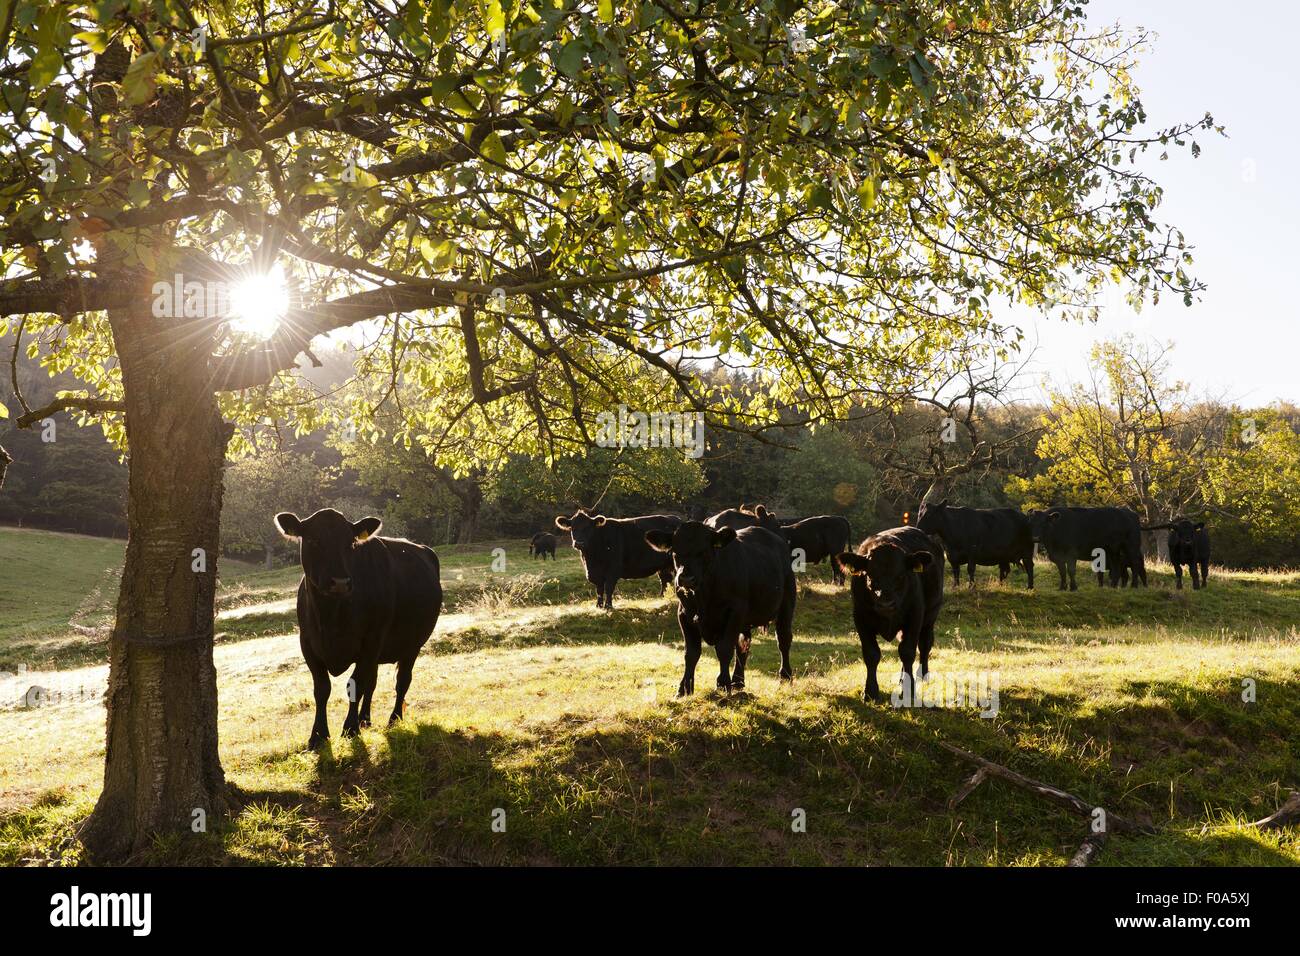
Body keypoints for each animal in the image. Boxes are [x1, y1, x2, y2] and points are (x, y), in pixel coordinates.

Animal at [274, 509, 441, 749]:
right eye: (314, 540)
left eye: (351, 544)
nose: (340, 582)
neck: (330, 616)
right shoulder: (307, 643)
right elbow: (322, 689)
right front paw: (318, 736)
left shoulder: (371, 640)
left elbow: (356, 684)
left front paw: (350, 728)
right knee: (373, 682)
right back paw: (365, 719)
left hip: (412, 645)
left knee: (402, 681)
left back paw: (393, 719)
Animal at [556, 509, 686, 606]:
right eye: (572, 528)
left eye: (588, 528)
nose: (579, 543)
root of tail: (678, 519)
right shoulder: (595, 573)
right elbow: (599, 589)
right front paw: (599, 606)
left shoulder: (613, 569)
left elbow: (608, 588)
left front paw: (608, 606)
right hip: (662, 565)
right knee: (665, 580)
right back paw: (662, 598)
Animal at [644, 522, 795, 697]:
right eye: (675, 552)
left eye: (705, 552)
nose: (686, 578)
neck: (703, 596)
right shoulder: (684, 615)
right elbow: (691, 653)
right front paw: (684, 688)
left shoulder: (734, 612)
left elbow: (724, 649)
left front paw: (723, 684)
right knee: (743, 645)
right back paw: (738, 681)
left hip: (787, 602)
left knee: (783, 639)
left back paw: (785, 676)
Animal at [837, 522, 941, 702]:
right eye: (870, 576)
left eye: (901, 576)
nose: (886, 604)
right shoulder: (861, 619)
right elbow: (871, 654)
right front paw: (870, 691)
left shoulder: (914, 617)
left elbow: (907, 652)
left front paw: (908, 690)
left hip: (930, 616)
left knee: (925, 644)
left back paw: (922, 676)